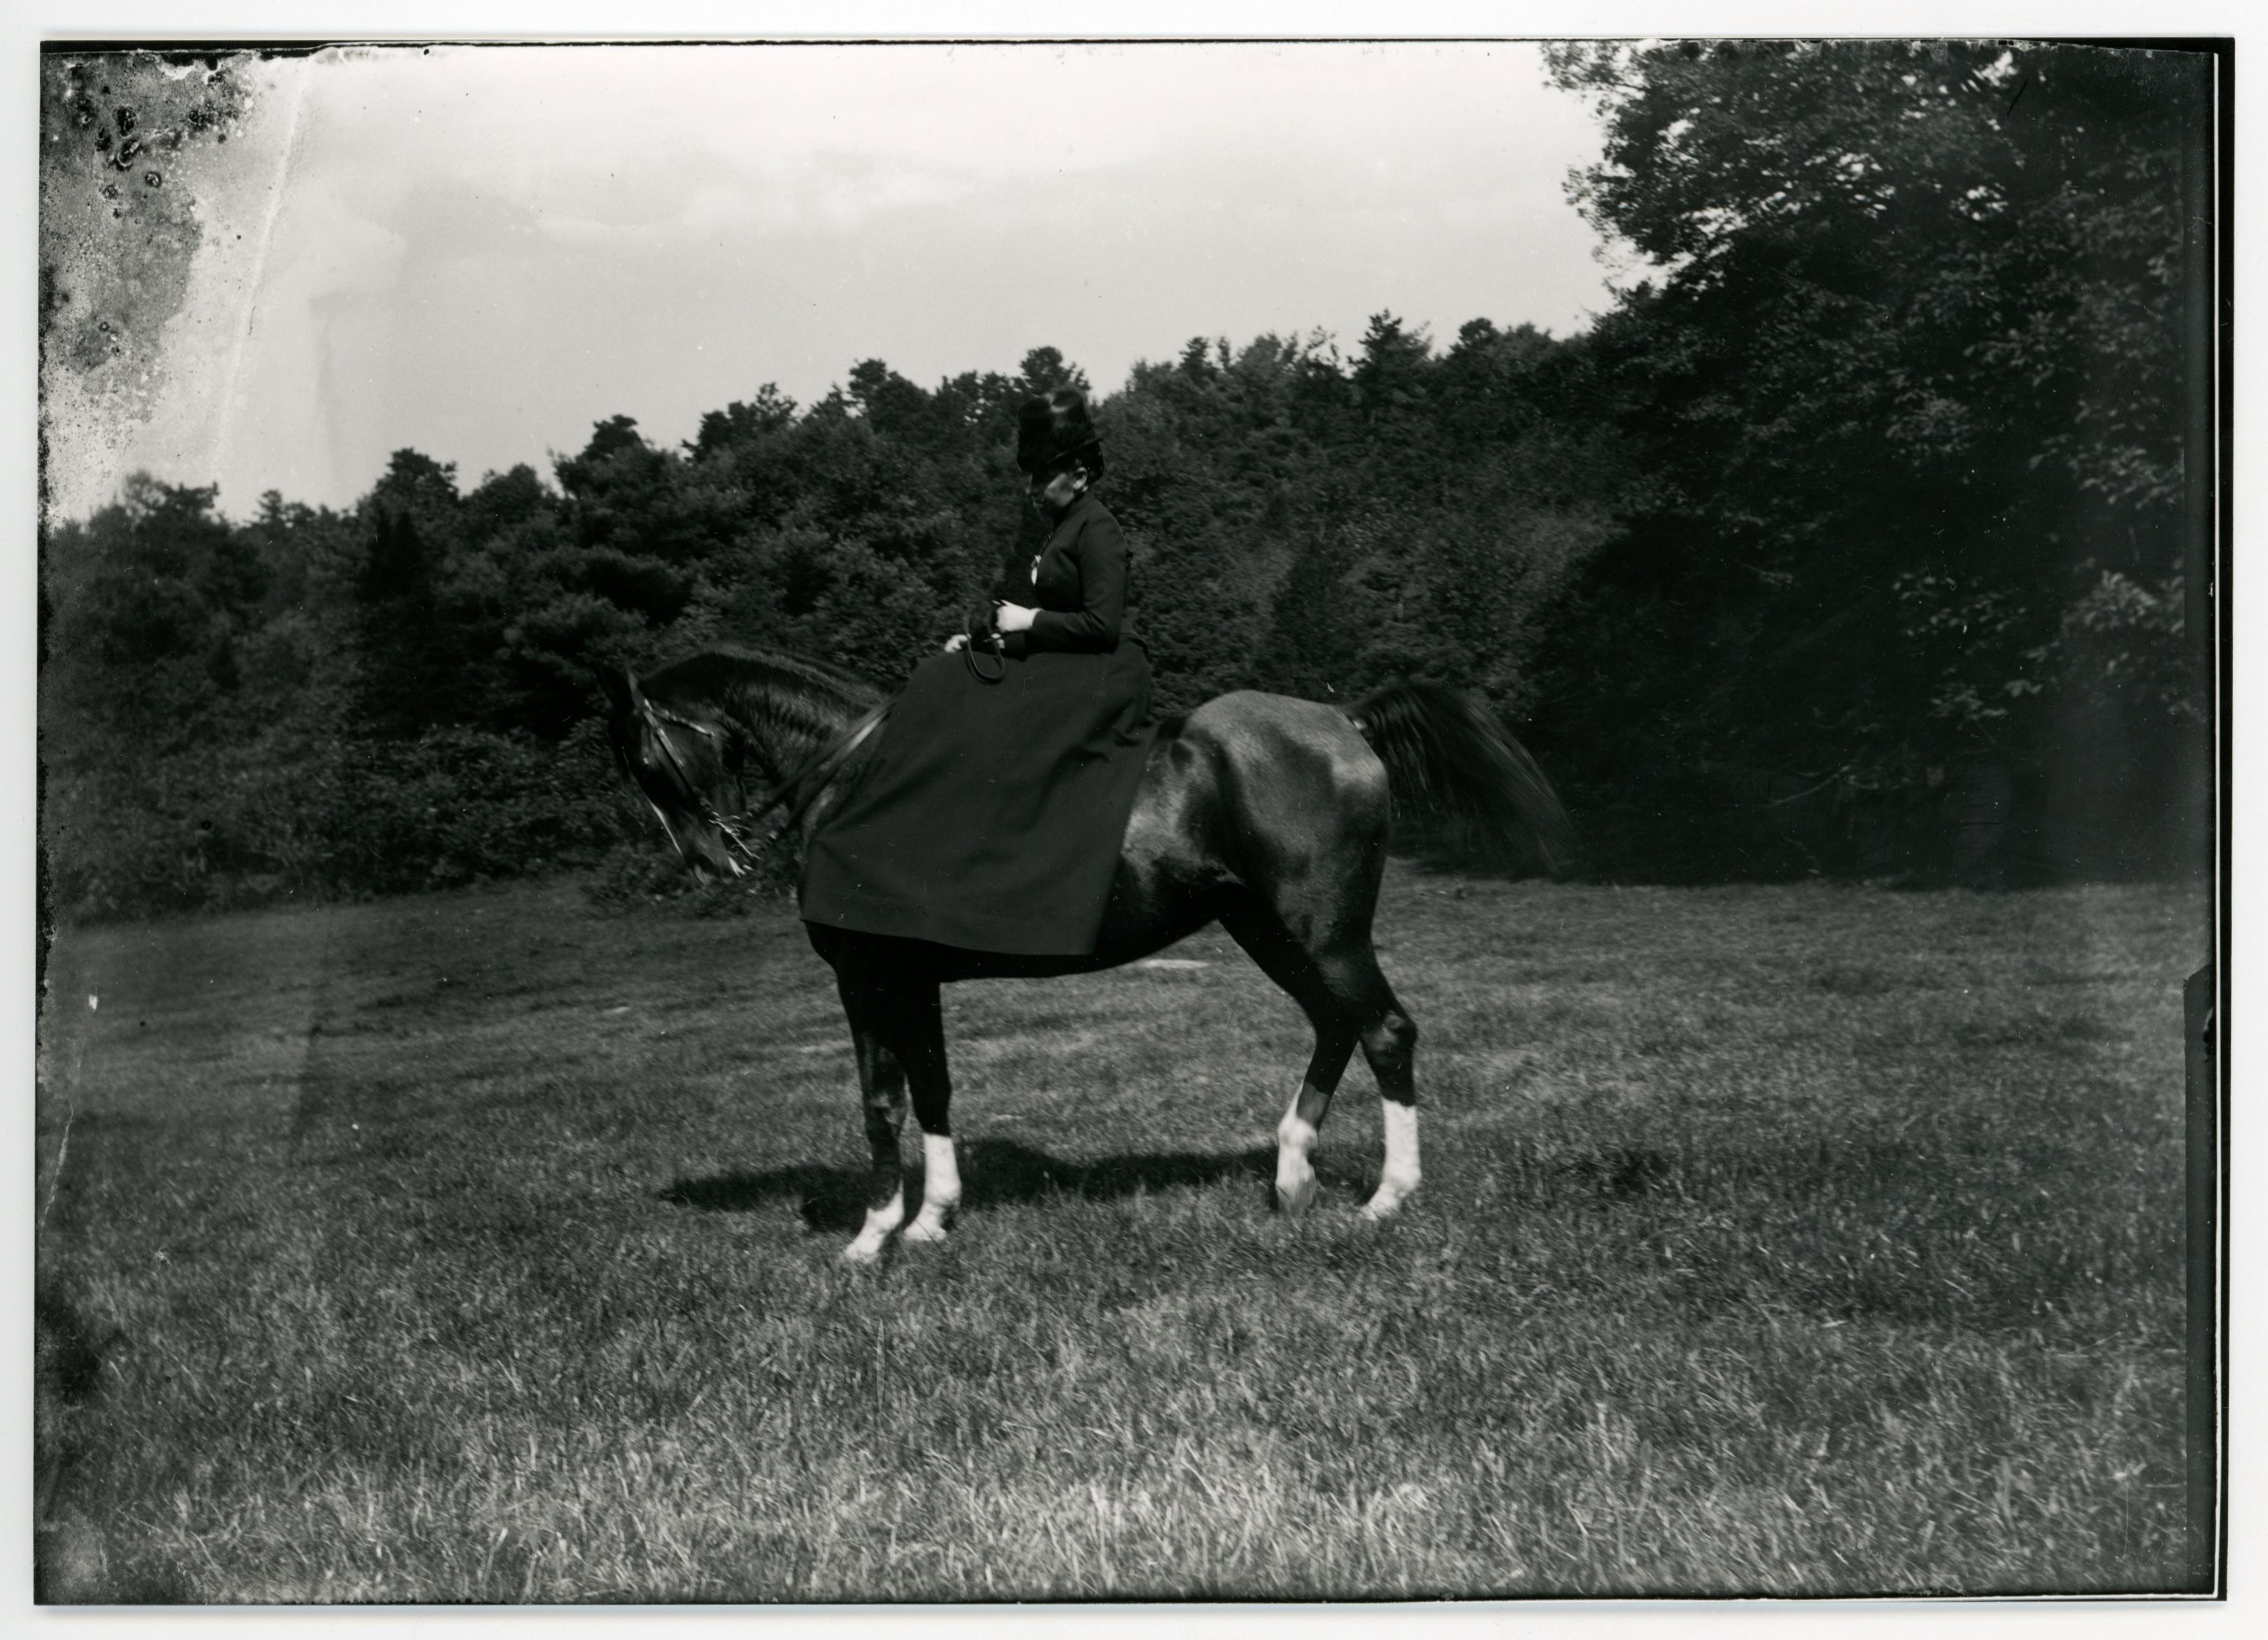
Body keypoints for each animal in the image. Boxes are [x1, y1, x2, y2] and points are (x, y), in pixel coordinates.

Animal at [595, 647, 1574, 1263]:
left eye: (642, 757)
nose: (710, 861)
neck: (858, 782)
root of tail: (1344, 719)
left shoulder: (868, 979)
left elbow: (882, 1101)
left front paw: (873, 1236)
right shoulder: (915, 982)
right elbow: (934, 1089)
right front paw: (932, 1219)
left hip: (1324, 932)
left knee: (1385, 1029)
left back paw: (1387, 1195)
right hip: (1267, 929)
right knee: (1338, 1025)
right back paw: (1293, 1173)